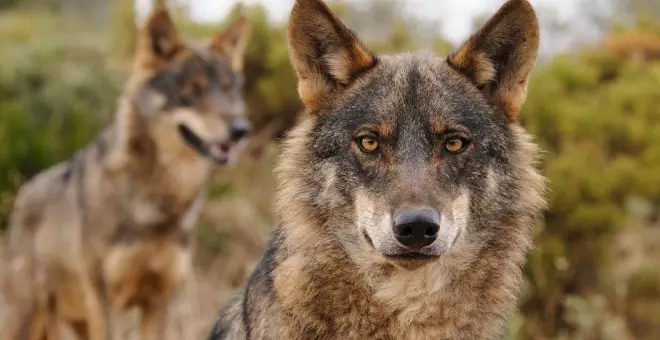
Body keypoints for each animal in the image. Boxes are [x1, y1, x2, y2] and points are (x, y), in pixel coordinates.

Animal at [0, 8, 250, 340]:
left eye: (228, 88)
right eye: (192, 91)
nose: (241, 129)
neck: (159, 206)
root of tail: (24, 191)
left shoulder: (160, 301)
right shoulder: (109, 304)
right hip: (32, 318)